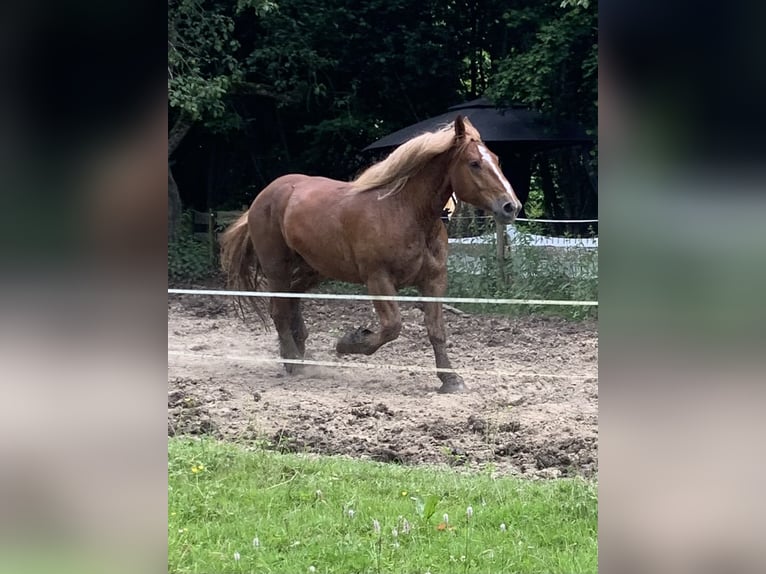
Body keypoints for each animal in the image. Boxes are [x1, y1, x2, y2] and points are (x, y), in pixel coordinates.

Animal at [219, 117, 524, 396]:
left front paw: (450, 379)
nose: (511, 207)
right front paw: (348, 342)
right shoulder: (378, 280)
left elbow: (436, 330)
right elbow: (392, 327)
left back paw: (299, 352)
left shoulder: (434, 280)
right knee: (279, 310)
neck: (405, 212)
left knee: (293, 302)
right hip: (277, 269)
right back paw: (293, 360)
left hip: (313, 269)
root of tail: (264, 196)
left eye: (496, 159)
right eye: (474, 163)